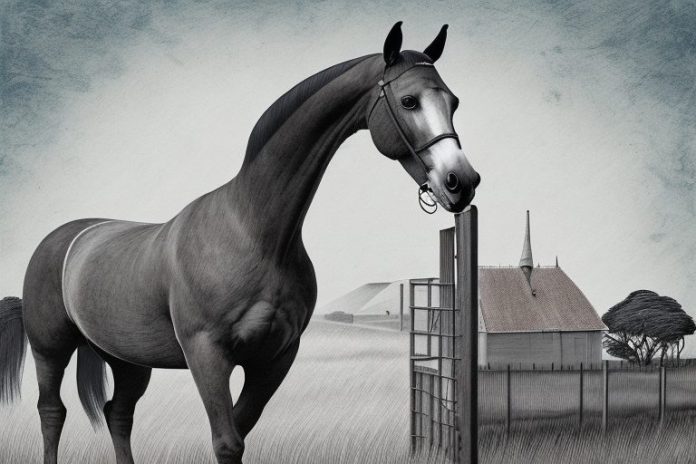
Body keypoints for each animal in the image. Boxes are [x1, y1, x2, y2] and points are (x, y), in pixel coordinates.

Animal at [0, 21, 479, 464]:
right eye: (409, 101)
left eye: (453, 102)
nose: (461, 181)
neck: (254, 233)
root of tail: (63, 239)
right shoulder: (207, 355)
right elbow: (227, 442)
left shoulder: (274, 359)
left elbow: (240, 431)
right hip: (50, 349)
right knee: (52, 412)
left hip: (128, 359)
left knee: (118, 413)